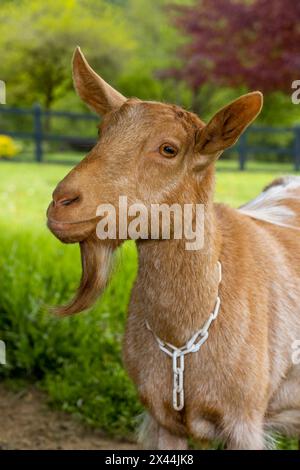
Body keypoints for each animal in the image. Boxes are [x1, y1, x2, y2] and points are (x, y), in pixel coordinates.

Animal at [46, 46, 300, 448]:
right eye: (100, 131)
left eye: (169, 149)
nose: (62, 202)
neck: (181, 338)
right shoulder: (161, 420)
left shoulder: (245, 421)